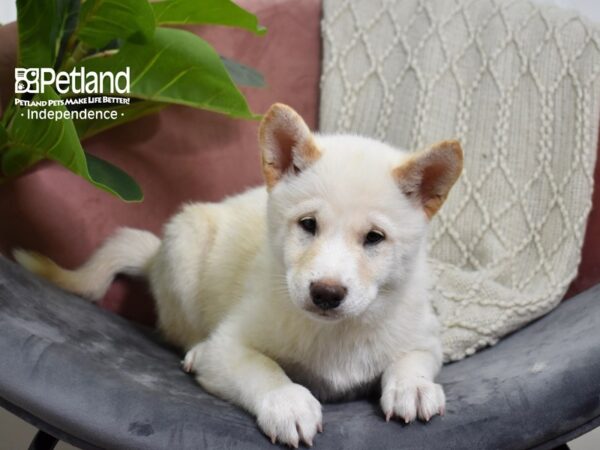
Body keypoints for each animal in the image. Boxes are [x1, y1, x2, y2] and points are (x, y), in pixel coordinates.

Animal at [15, 104, 464, 446]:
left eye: (374, 238)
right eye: (308, 225)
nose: (326, 293)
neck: (335, 333)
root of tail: (154, 257)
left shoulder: (425, 338)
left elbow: (411, 360)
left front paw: (413, 388)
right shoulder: (230, 344)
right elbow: (262, 368)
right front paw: (287, 403)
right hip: (186, 243)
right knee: (184, 332)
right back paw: (194, 352)